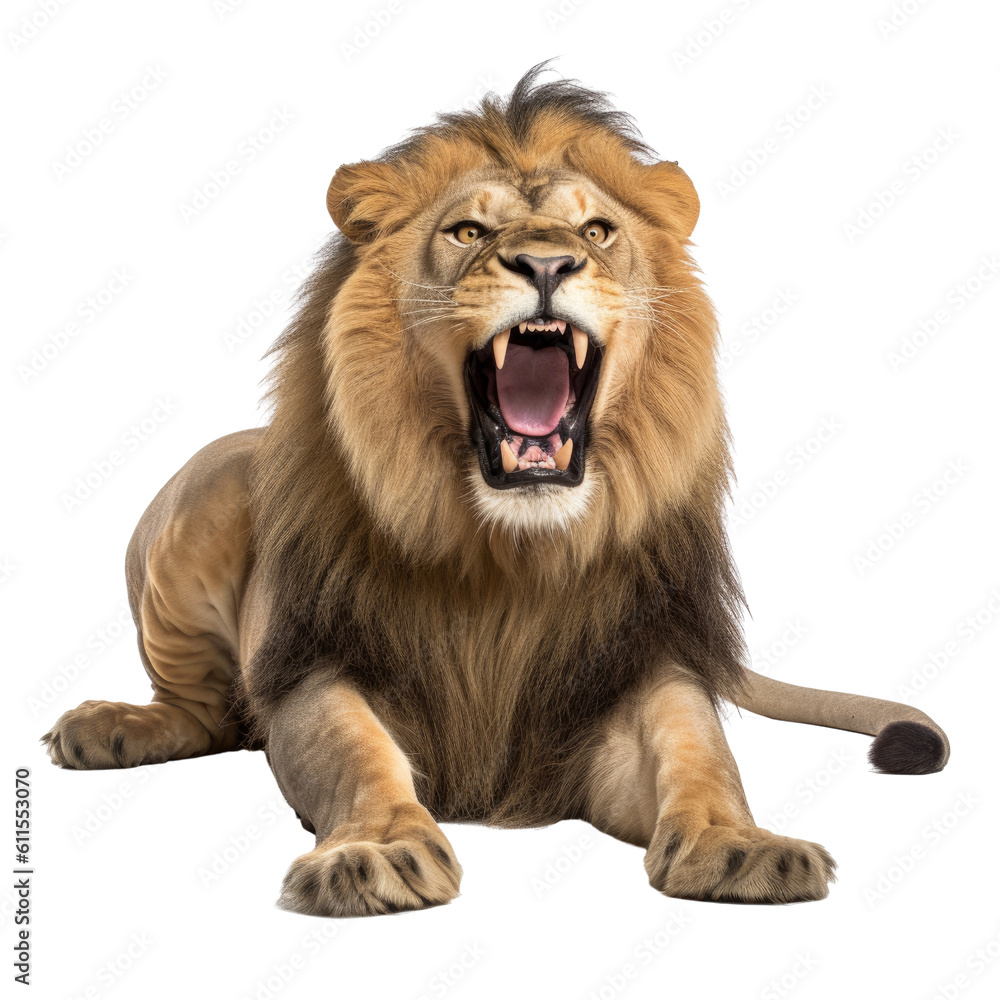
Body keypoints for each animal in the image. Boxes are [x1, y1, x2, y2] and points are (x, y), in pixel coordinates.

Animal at [42, 65, 949, 915]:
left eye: (596, 230)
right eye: (469, 231)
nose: (547, 262)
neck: (511, 554)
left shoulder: (626, 678)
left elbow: (699, 750)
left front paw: (740, 846)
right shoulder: (317, 666)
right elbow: (355, 752)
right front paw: (376, 852)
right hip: (201, 495)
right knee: (200, 709)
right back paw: (108, 728)